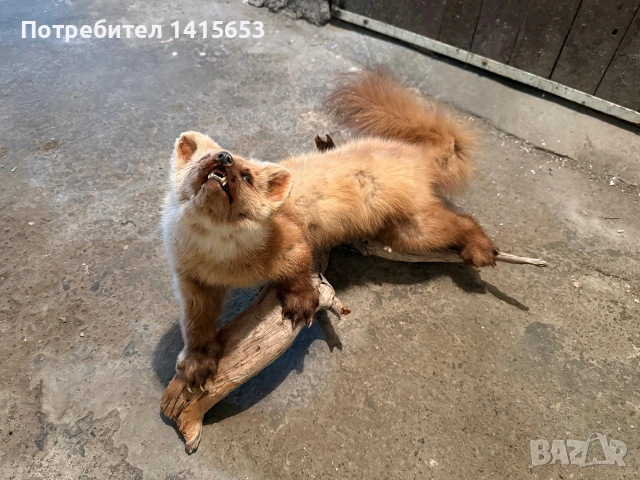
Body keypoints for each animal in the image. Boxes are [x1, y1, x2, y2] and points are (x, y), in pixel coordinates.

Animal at [162, 70, 498, 390]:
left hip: (415, 226)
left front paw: (300, 304)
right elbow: (195, 324)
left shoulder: (293, 241)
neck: (222, 260)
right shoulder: (190, 281)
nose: (224, 156)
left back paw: (482, 250)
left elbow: (299, 269)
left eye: (247, 176)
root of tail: (414, 153)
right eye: (203, 157)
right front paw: (195, 365)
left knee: (463, 220)